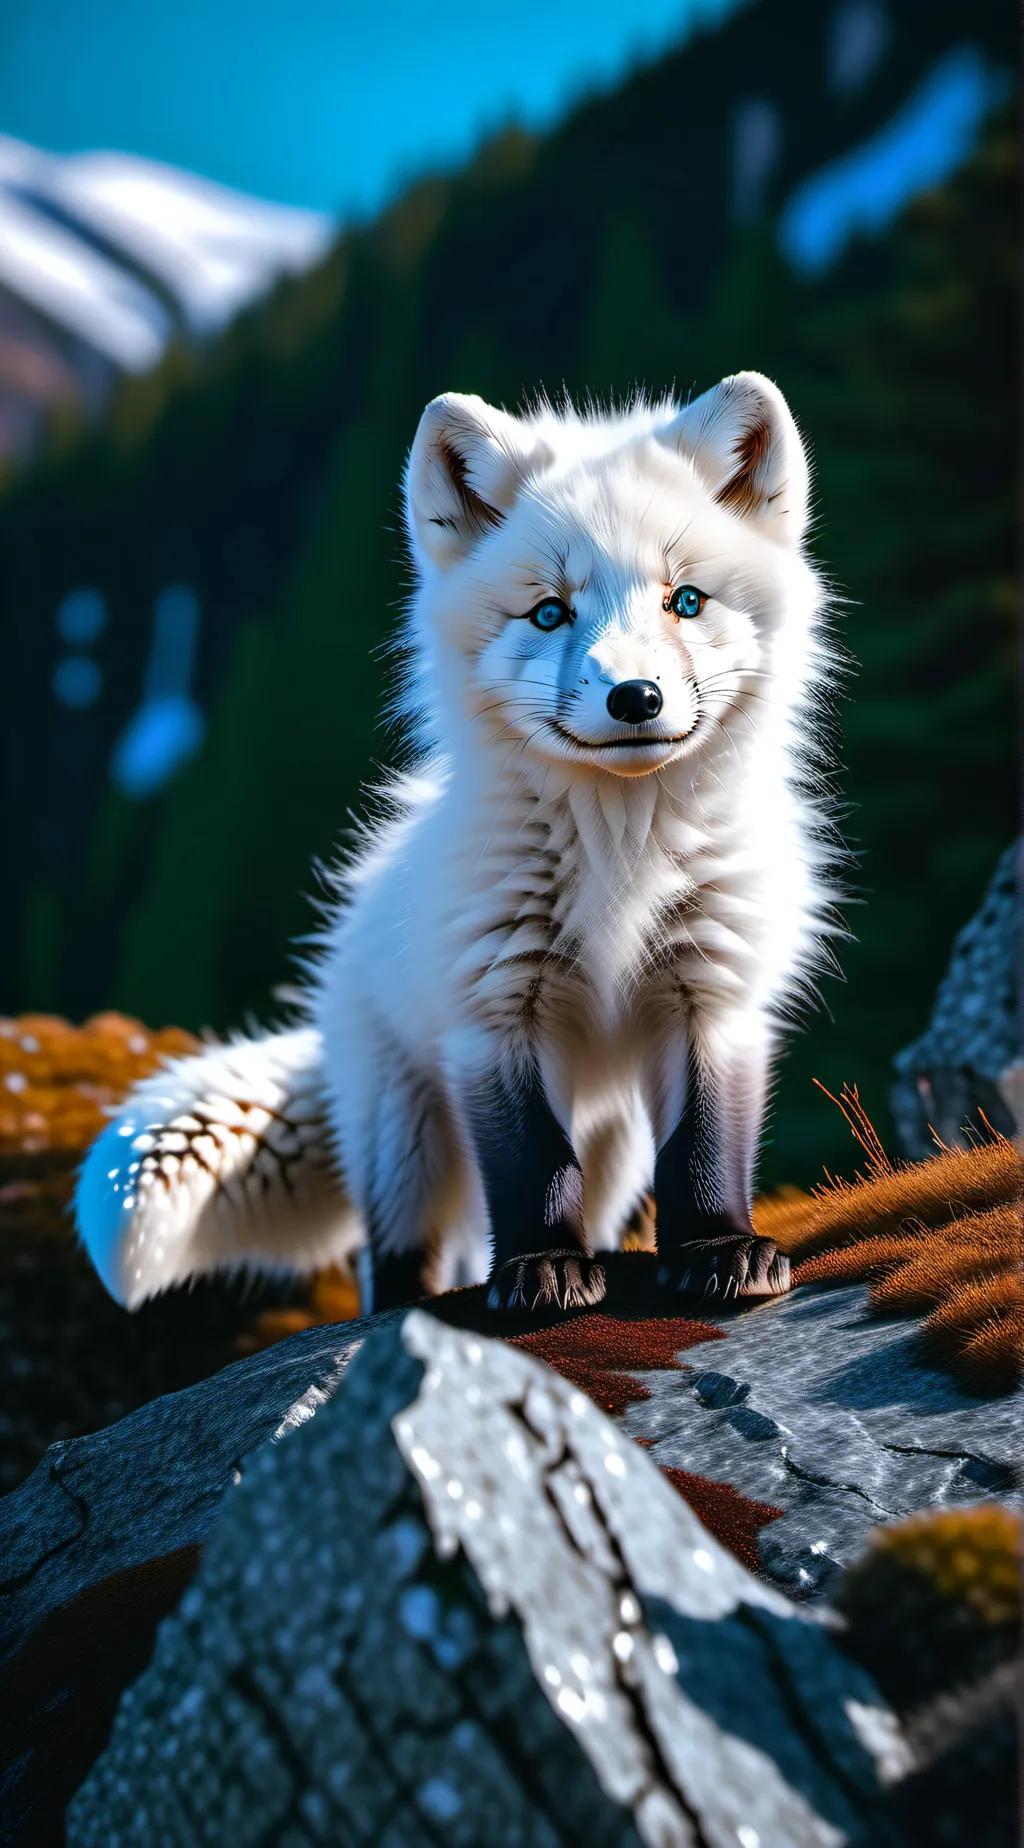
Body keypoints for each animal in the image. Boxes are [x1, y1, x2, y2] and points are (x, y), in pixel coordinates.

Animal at [77, 373, 839, 1318]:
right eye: (550, 613)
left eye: (685, 600)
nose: (635, 697)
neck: (618, 859)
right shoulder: (494, 1018)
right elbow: (532, 1168)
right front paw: (543, 1267)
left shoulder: (711, 996)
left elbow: (703, 1149)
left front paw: (718, 1250)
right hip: (406, 1139)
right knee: (409, 1254)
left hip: (614, 1139)